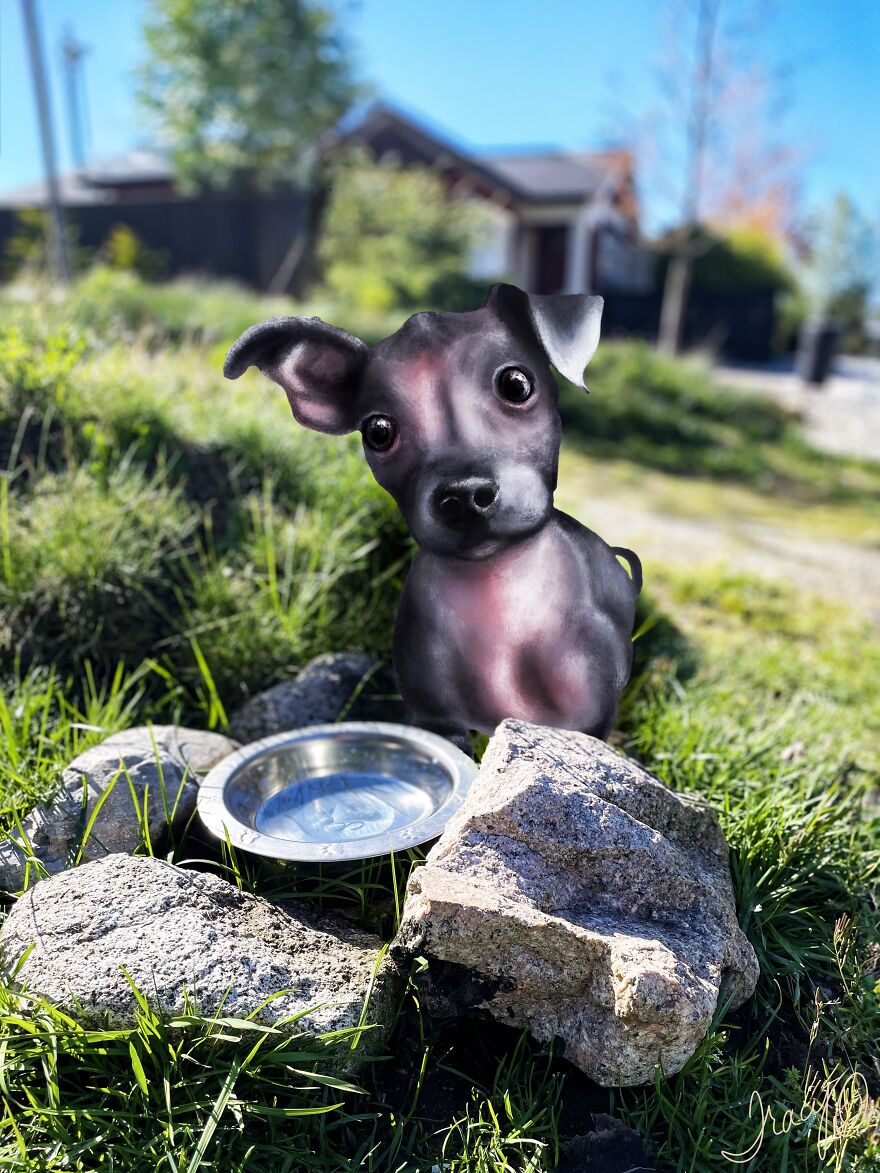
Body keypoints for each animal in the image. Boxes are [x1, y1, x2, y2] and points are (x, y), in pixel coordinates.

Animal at [225, 279, 642, 746]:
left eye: (516, 385)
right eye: (378, 431)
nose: (463, 495)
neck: (496, 594)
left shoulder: (586, 724)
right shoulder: (437, 722)